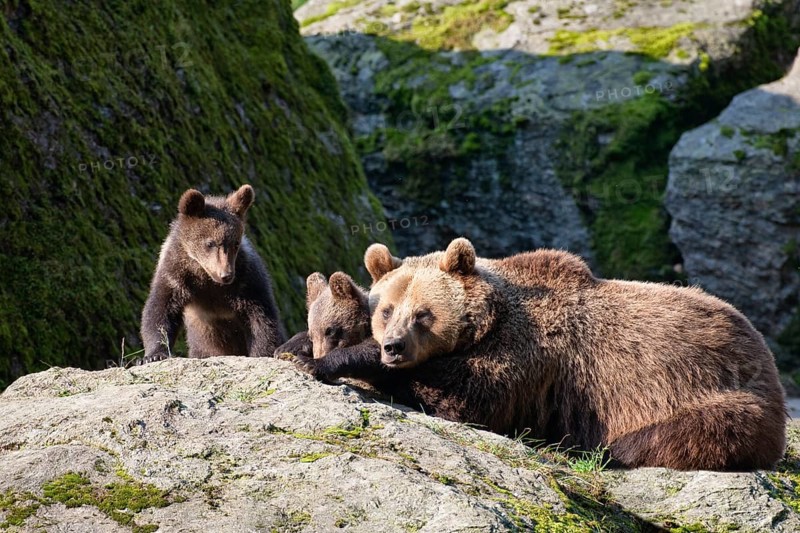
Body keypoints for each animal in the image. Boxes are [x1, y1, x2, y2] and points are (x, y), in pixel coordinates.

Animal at [139, 185, 286, 363]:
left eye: (235, 243)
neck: (206, 278)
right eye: (210, 243)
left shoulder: (247, 281)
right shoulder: (175, 275)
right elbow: (160, 310)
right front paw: (153, 355)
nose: (226, 275)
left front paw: (262, 353)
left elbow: (261, 320)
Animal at [284, 238, 787, 471]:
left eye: (424, 314)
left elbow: (462, 398)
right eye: (387, 310)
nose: (393, 347)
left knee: (679, 434)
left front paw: (328, 360)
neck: (491, 321)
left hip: (716, 392)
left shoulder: (532, 361)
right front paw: (297, 345)